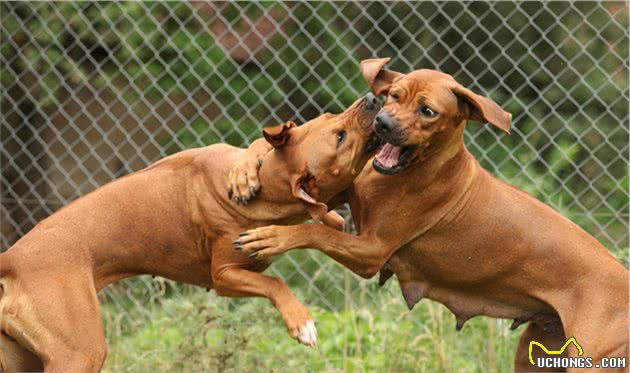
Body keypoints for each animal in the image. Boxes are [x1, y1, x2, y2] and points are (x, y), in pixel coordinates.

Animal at [0, 94, 380, 370]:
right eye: (339, 135)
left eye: (332, 117)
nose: (371, 99)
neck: (268, 192)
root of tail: (12, 259)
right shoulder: (224, 276)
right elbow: (275, 282)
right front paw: (301, 322)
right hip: (79, 353)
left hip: (23, 359)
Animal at [233, 58, 630, 370]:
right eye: (395, 95)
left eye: (428, 112)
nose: (383, 122)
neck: (405, 174)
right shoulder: (340, 195)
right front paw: (243, 173)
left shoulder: (372, 251)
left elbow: (317, 232)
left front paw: (271, 237)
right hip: (537, 352)